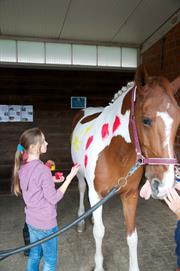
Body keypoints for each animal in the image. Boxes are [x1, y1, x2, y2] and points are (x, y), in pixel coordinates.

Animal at [70, 66, 180, 271]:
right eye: (146, 120)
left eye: (177, 121)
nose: (164, 185)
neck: (116, 150)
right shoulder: (96, 192)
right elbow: (99, 232)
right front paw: (98, 266)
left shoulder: (130, 195)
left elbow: (132, 235)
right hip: (78, 172)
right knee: (81, 188)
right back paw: (81, 220)